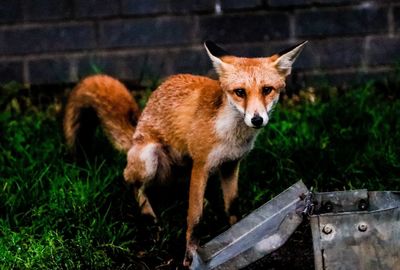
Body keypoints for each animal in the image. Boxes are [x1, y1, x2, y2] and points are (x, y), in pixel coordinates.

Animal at [63, 39, 306, 266]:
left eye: (267, 90)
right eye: (240, 92)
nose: (257, 119)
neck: (230, 134)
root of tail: (135, 133)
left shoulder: (231, 164)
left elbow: (232, 205)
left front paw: (238, 233)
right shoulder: (201, 165)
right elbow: (194, 218)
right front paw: (190, 256)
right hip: (149, 157)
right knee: (131, 182)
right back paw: (149, 218)